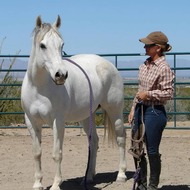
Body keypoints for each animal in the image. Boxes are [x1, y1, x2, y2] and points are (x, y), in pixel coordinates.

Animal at [20, 15, 127, 190]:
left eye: (61, 44)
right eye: (42, 45)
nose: (61, 75)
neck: (39, 88)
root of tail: (109, 65)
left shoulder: (58, 121)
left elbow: (57, 153)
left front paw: (56, 184)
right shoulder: (31, 121)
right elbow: (37, 153)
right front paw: (37, 184)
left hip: (115, 111)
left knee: (121, 137)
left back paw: (121, 175)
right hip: (87, 116)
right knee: (94, 141)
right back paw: (88, 178)